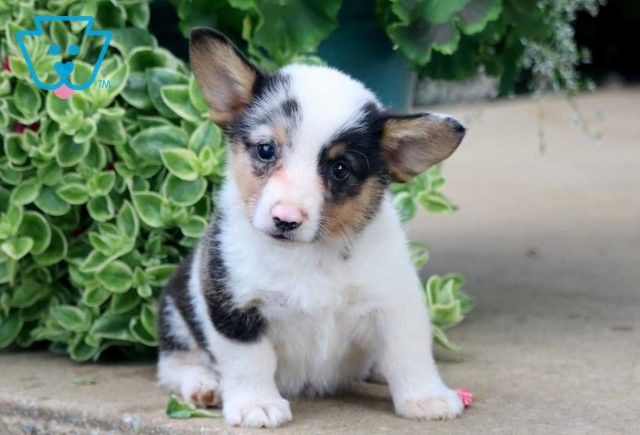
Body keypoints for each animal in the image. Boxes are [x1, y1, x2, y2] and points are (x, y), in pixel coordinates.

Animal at [158, 29, 468, 430]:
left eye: (340, 169)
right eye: (265, 150)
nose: (286, 218)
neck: (311, 255)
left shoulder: (395, 300)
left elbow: (408, 353)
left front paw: (426, 397)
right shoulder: (234, 306)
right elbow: (248, 361)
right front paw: (256, 405)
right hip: (175, 308)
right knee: (174, 364)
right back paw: (203, 384)